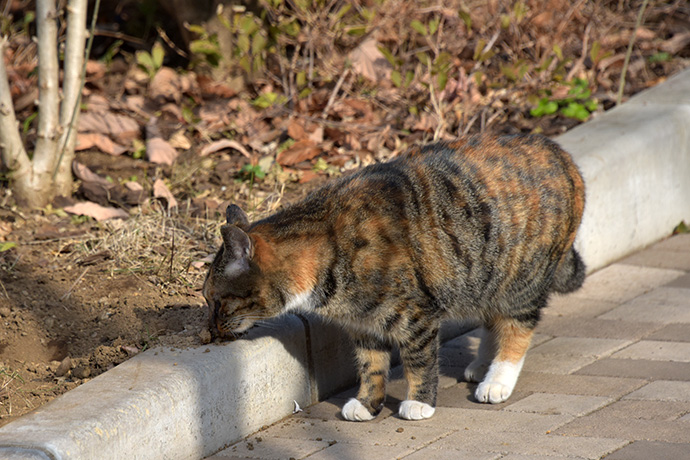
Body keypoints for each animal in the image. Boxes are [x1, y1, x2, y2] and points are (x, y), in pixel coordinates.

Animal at [202, 132, 584, 420]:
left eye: (216, 301)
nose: (210, 329)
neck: (326, 246)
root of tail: (561, 153)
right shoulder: (363, 323)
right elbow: (370, 365)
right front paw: (368, 404)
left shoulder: (417, 317)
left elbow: (418, 361)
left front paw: (419, 402)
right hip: (486, 277)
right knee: (493, 317)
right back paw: (481, 365)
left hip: (520, 278)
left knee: (517, 327)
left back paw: (497, 379)